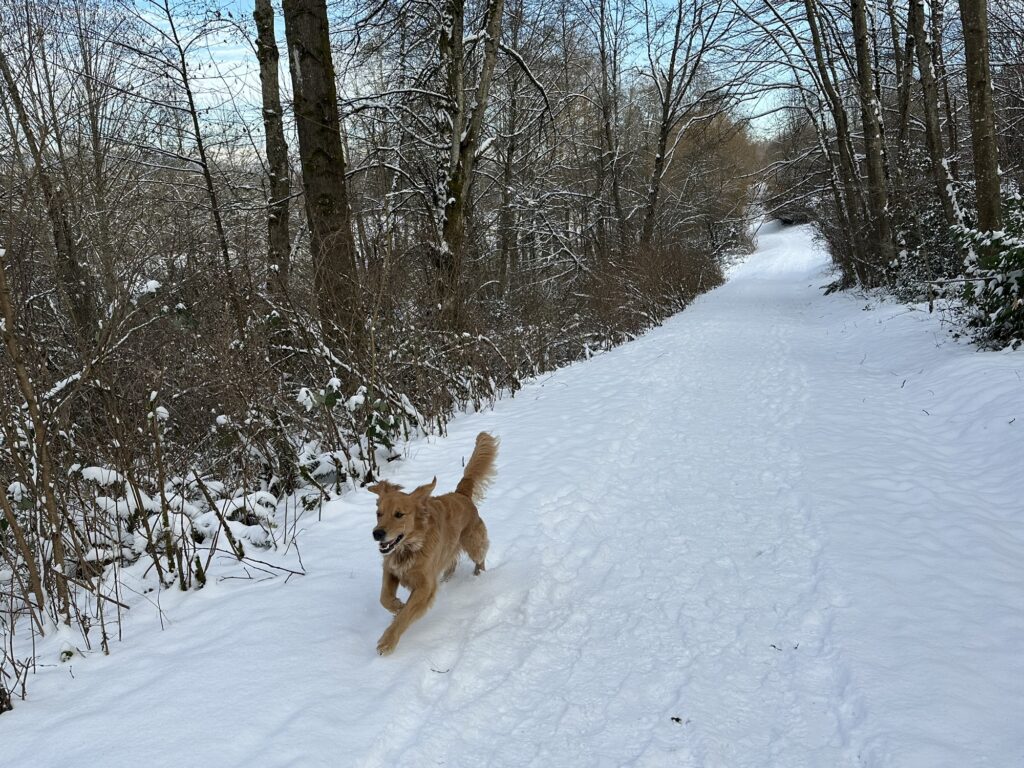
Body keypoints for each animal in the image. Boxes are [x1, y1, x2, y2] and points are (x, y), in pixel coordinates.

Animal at [370, 434, 497, 655]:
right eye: (379, 513)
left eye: (399, 514)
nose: (377, 533)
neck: (411, 547)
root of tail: (461, 494)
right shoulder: (390, 570)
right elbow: (384, 597)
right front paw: (396, 605)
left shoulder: (425, 586)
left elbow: (406, 615)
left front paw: (388, 641)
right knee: (452, 563)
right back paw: (447, 579)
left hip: (473, 543)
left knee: (480, 558)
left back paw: (478, 576)